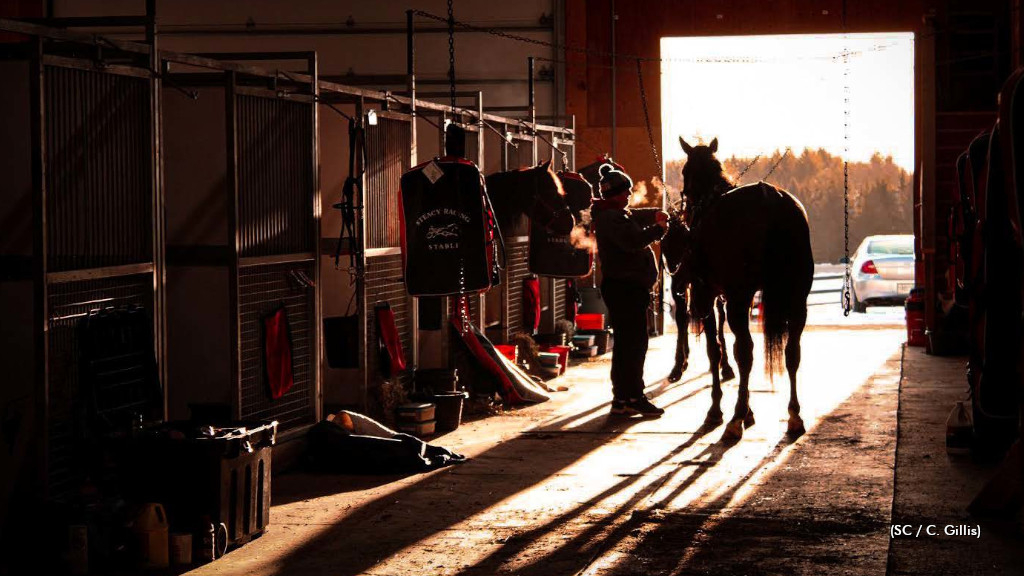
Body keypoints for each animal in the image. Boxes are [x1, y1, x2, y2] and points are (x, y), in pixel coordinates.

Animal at [663, 136, 815, 436]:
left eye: (685, 171)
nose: (686, 213)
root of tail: (772, 201)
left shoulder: (708, 295)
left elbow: (715, 350)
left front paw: (718, 410)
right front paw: (748, 411)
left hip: (738, 298)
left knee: (744, 351)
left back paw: (734, 420)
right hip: (796, 297)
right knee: (792, 352)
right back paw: (793, 415)